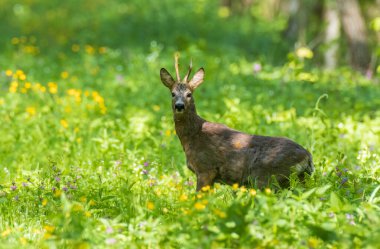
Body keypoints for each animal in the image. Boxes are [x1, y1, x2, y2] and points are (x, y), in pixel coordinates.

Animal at [159, 55, 314, 191]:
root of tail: (307, 156)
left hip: (269, 178)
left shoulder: (206, 168)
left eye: (189, 94)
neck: (193, 135)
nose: (179, 106)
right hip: (296, 180)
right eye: (173, 94)